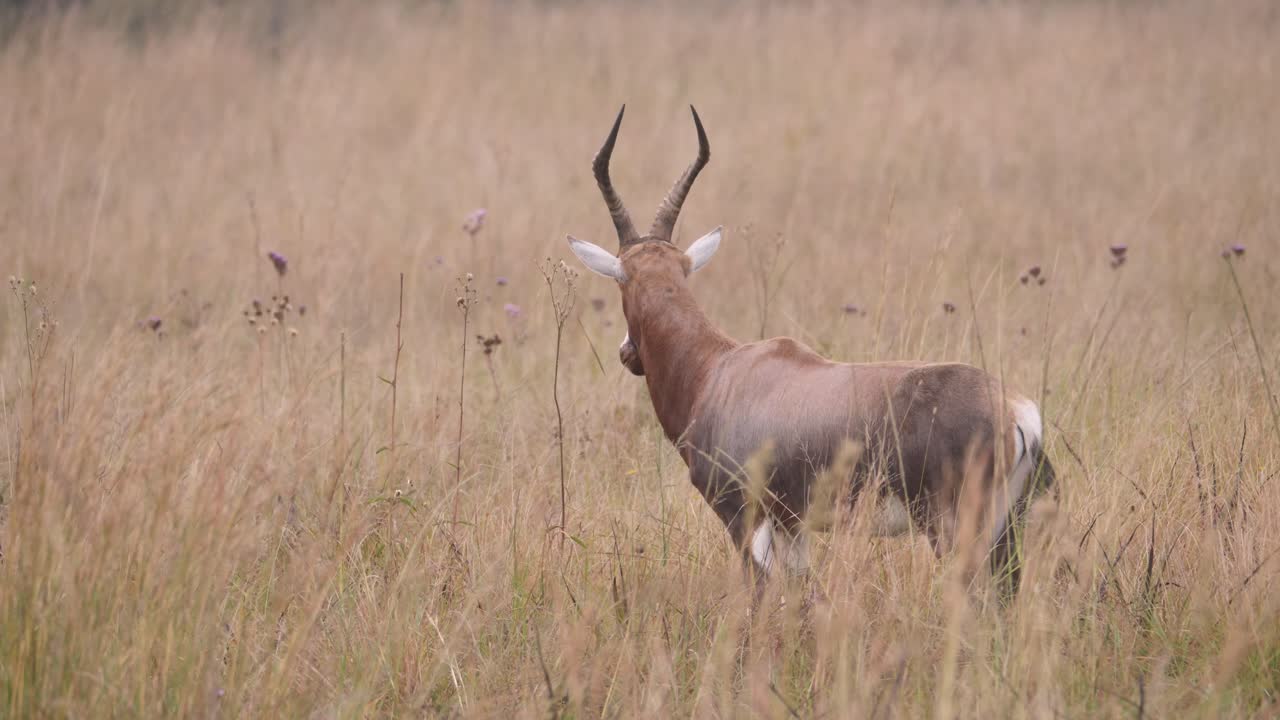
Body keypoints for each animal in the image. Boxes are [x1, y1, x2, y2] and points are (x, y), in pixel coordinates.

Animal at [566, 106, 1055, 597]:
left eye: (619, 283)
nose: (627, 354)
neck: (719, 371)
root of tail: (1017, 412)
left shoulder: (744, 519)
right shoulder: (790, 526)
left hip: (955, 528)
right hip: (1005, 528)